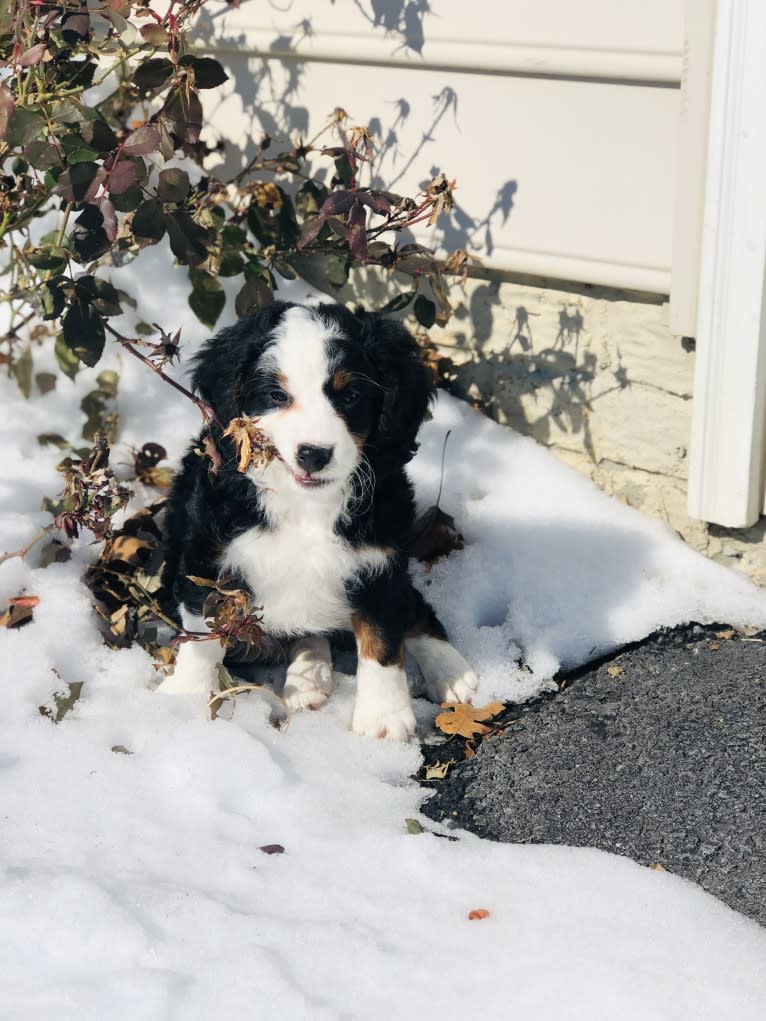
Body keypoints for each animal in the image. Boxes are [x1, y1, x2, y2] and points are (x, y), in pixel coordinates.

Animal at [159, 298, 477, 739]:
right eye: (276, 395)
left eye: (352, 395)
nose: (313, 454)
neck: (305, 504)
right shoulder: (207, 554)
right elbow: (201, 631)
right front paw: (186, 696)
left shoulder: (379, 563)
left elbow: (383, 640)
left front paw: (383, 718)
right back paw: (308, 678)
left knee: (414, 609)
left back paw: (451, 672)